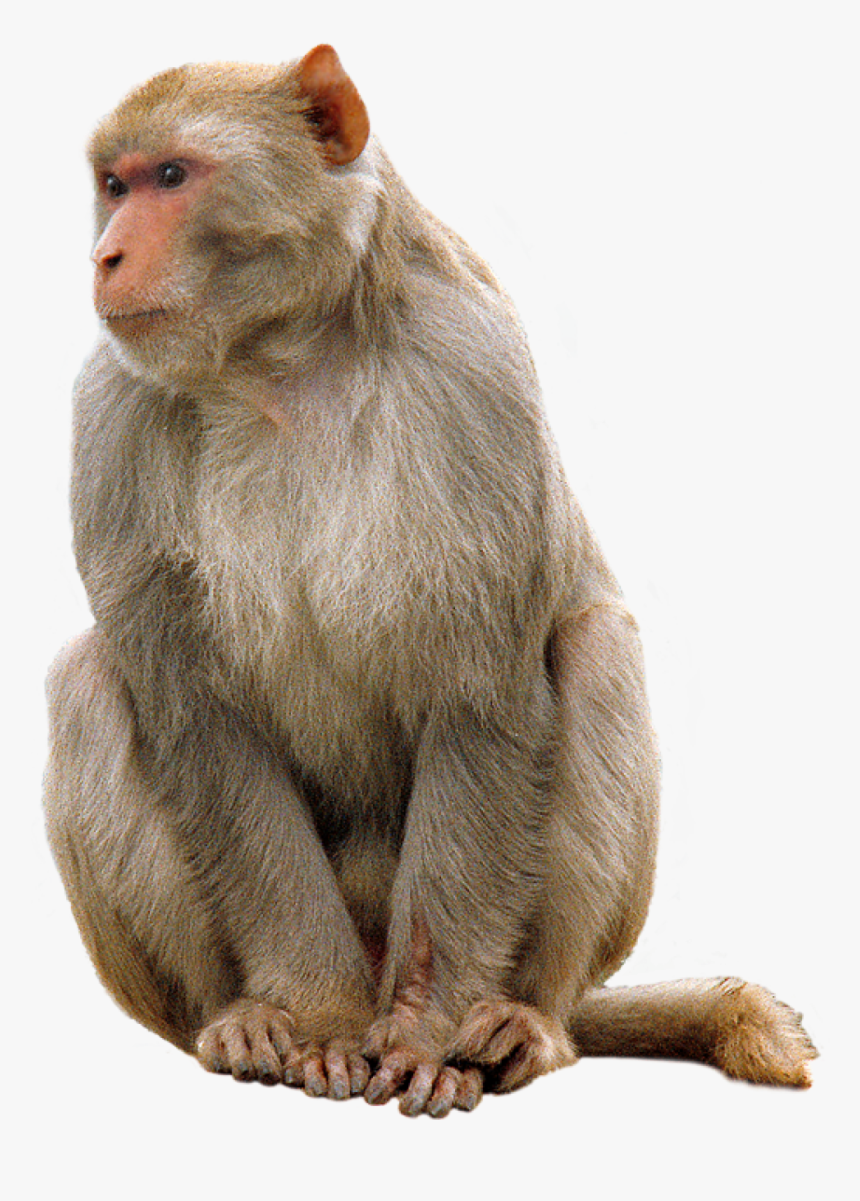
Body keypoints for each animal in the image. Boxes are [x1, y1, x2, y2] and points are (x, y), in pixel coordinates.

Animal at [44, 44, 816, 1118]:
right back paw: (239, 1019)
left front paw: (423, 1031)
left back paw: (523, 1023)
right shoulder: (110, 412)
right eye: (114, 186)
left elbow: (480, 699)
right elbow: (202, 724)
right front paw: (318, 1018)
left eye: (171, 176)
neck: (280, 359)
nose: (106, 256)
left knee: (596, 649)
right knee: (86, 680)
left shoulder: (473, 376)